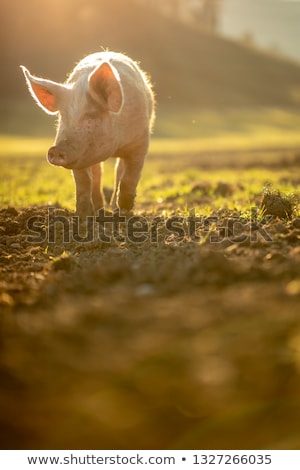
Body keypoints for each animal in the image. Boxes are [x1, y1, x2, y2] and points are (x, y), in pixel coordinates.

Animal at [21, 50, 156, 216]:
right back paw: (99, 210)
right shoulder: (80, 155)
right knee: (98, 174)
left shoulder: (140, 143)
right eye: (63, 116)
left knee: (118, 170)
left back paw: (115, 209)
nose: (55, 150)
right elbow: (84, 183)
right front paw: (83, 215)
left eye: (91, 117)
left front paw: (124, 211)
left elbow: (129, 177)